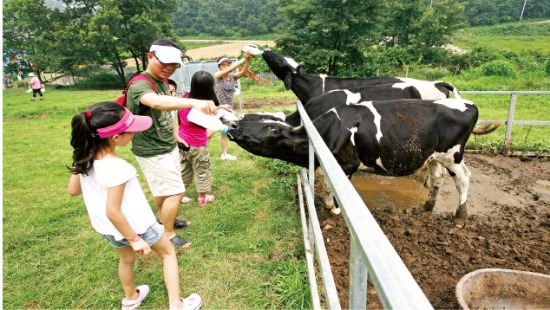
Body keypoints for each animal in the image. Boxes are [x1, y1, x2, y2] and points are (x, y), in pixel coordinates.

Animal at [229, 98, 500, 222]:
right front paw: (328, 205)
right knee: (437, 178)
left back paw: (461, 214)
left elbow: (335, 188)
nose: (233, 126)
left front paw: (336, 209)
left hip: (452, 155)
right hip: (433, 156)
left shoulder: (347, 164)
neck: (328, 130)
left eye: (272, 128)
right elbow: (326, 185)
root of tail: (466, 103)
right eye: (253, 118)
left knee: (464, 178)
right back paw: (426, 207)